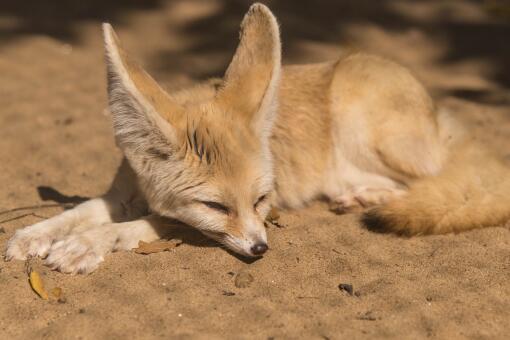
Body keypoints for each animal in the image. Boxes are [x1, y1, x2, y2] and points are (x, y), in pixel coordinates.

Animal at [4, 3, 510, 274]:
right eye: (215, 205)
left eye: (262, 200)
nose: (261, 249)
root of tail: (440, 116)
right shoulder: (122, 194)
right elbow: (78, 210)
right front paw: (35, 234)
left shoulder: (190, 220)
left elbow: (145, 225)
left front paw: (85, 244)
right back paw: (356, 195)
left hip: (362, 121)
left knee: (434, 183)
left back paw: (368, 197)